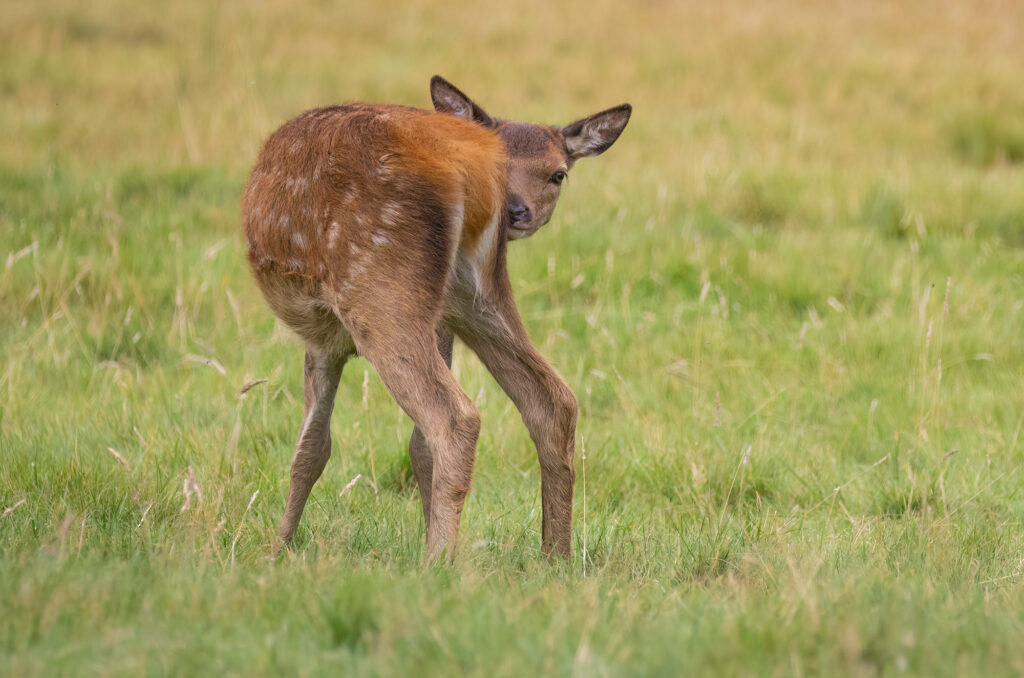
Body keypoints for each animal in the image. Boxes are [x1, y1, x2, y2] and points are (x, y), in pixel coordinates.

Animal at [243, 76, 626, 561]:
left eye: (558, 173)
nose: (518, 210)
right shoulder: (440, 323)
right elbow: (411, 447)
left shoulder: (322, 339)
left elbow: (310, 447)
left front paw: (278, 550)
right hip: (478, 293)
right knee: (555, 400)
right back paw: (555, 556)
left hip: (377, 286)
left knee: (453, 416)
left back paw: (439, 560)